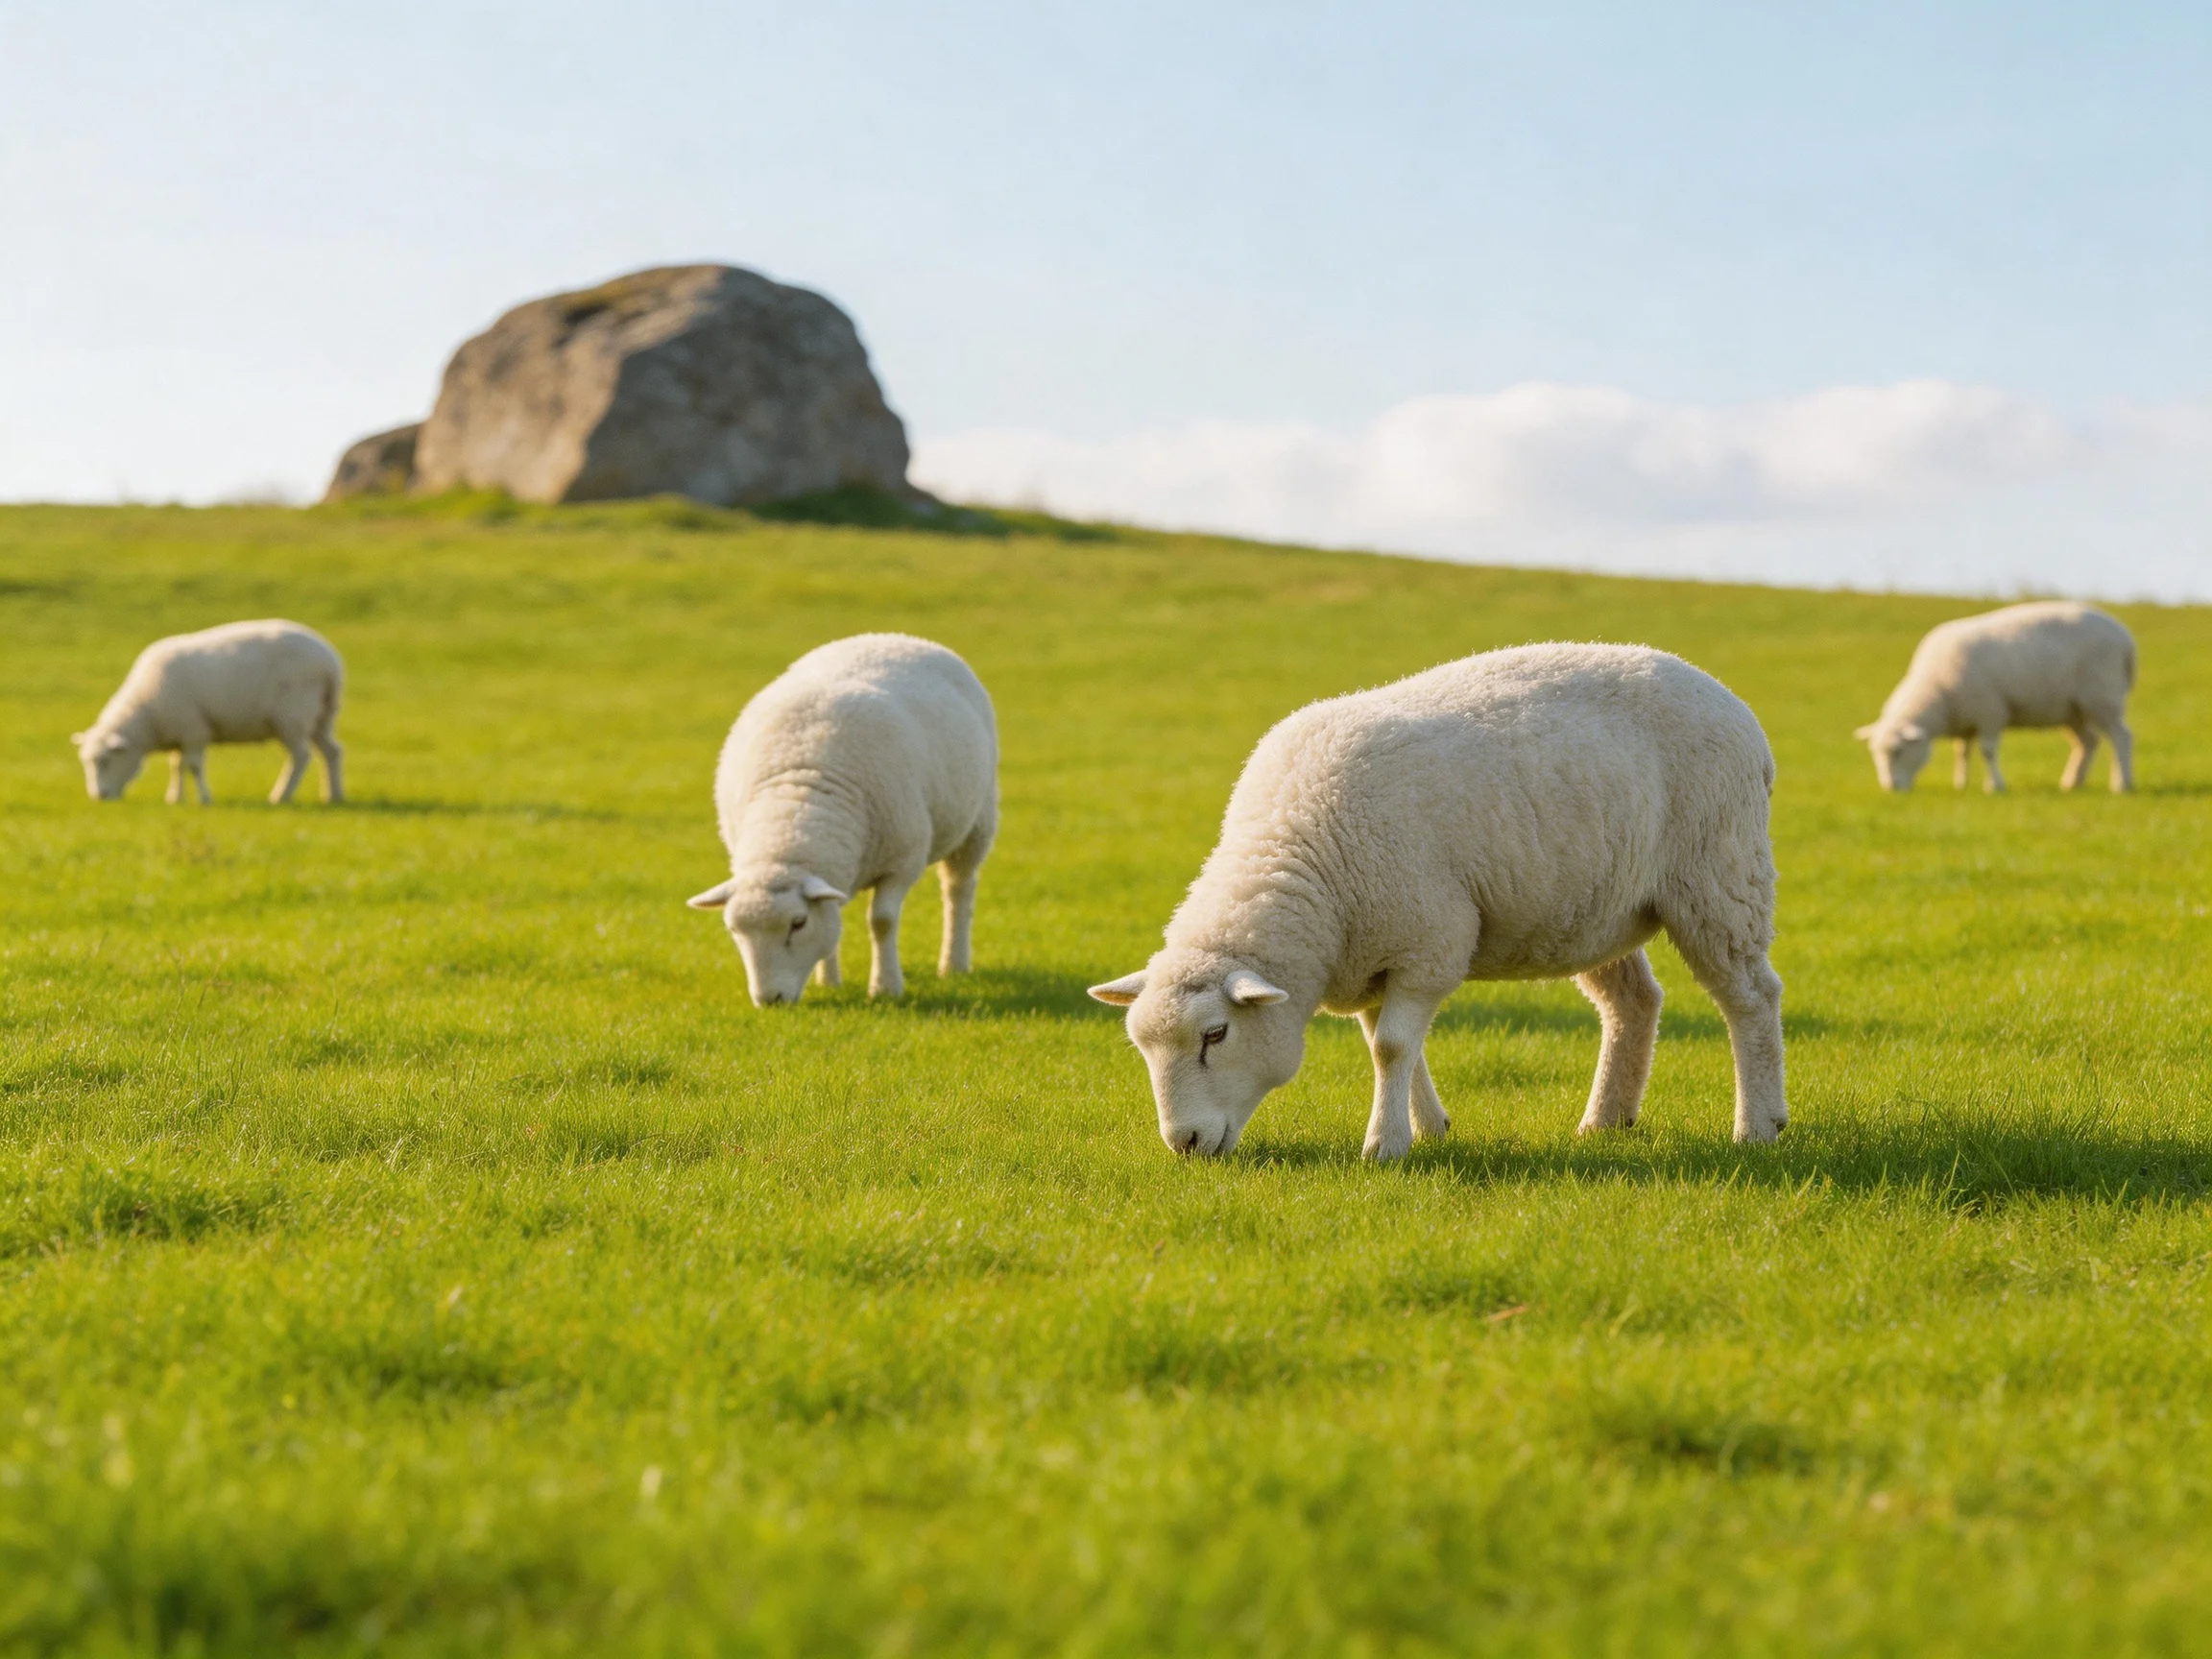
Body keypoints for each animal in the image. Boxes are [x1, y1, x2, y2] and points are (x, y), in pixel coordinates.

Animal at [72, 619, 345, 804]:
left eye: (105, 760)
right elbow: (177, 766)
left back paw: (281, 795)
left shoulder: (194, 730)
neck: (146, 713)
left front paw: (204, 799)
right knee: (332, 751)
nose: (99, 796)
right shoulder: (180, 734)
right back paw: (333, 795)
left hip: (292, 717)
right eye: (85, 762)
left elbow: (193, 766)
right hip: (321, 717)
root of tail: (331, 662)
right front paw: (175, 797)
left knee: (301, 756)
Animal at [686, 633, 996, 1006]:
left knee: (958, 889)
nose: (770, 1000)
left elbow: (882, 921)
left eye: (798, 923)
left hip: (977, 822)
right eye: (734, 929)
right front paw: (829, 983)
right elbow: (832, 918)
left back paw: (954, 964)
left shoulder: (903, 861)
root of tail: (891, 637)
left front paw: (885, 987)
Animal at [1088, 643, 1787, 1161]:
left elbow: (1393, 1046)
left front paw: (1385, 1144)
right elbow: (1389, 1043)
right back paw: (1606, 1119)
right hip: (1597, 907)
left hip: (1720, 874)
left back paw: (1758, 1125)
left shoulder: (1429, 942)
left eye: (1216, 1034)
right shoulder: (1375, 953)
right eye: (1142, 1046)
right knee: (1635, 1002)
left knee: (1751, 996)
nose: (1184, 1143)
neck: (1304, 861)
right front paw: (1428, 1126)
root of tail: (1735, 706)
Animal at [1853, 601, 2135, 794]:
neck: (1938, 691)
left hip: (2102, 697)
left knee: (2121, 737)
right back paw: (2071, 783)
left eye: (1898, 751)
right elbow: (1962, 752)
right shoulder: (1966, 718)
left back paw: (2122, 784)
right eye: (1874, 753)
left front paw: (1995, 786)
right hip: (2070, 709)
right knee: (2088, 742)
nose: (1890, 788)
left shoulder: (1990, 712)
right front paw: (1961, 783)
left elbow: (1987, 751)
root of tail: (2124, 637)